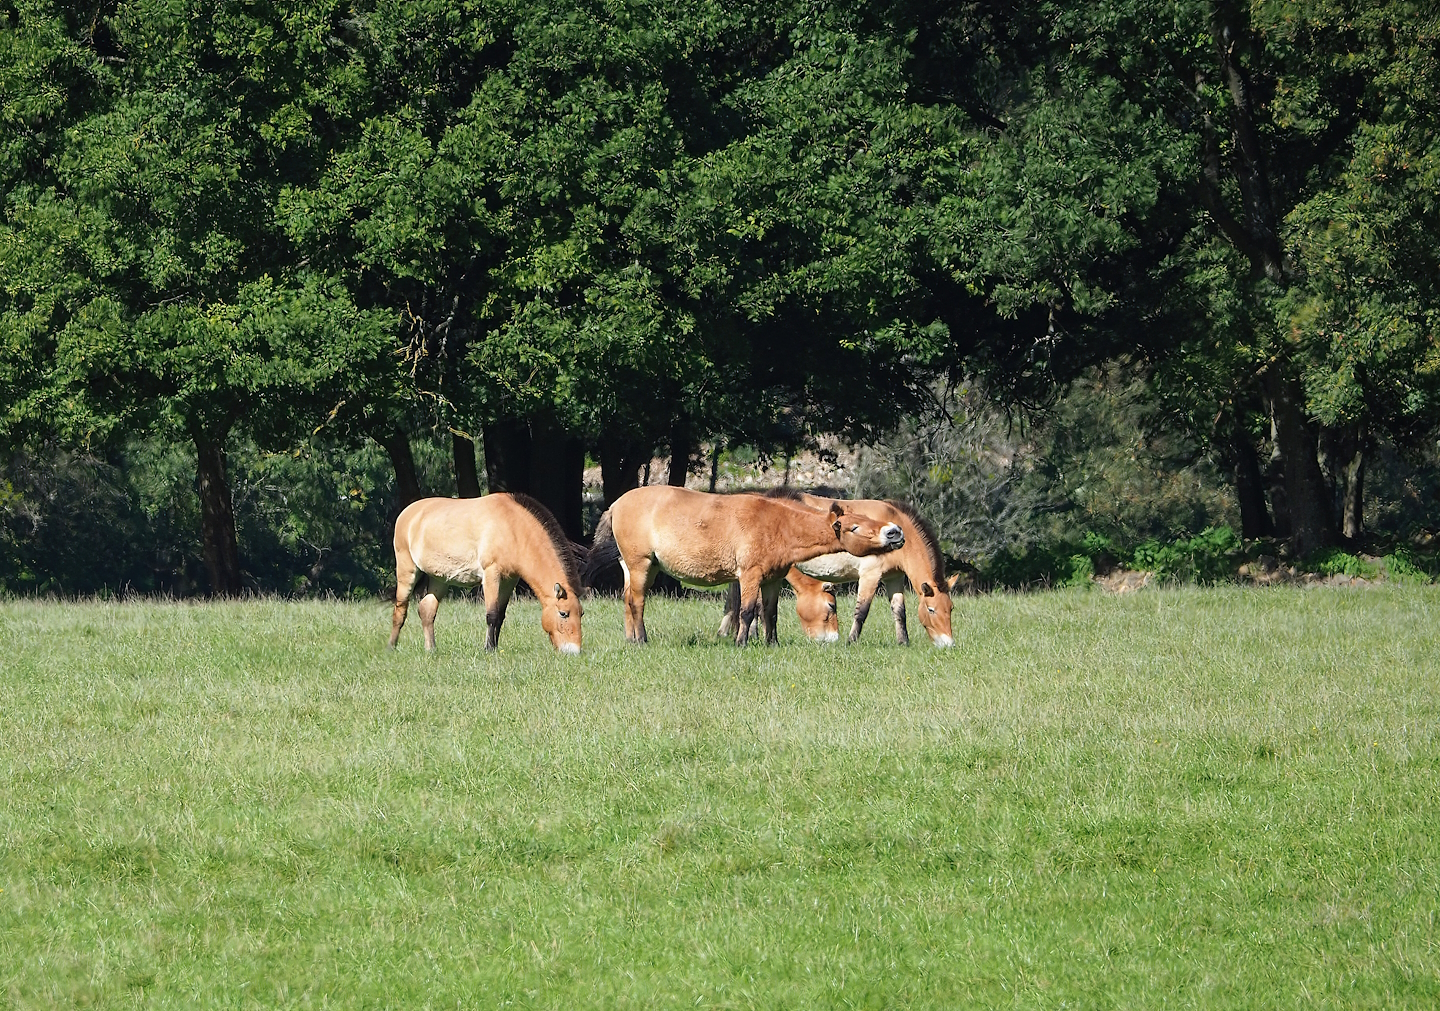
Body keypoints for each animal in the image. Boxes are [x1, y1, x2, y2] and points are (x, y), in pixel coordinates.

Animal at [389, 493, 583, 653]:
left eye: (581, 613)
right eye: (563, 613)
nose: (574, 651)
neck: (513, 527)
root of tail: (407, 513)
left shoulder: (509, 580)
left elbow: (501, 615)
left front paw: (495, 646)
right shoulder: (491, 575)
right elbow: (492, 614)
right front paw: (488, 649)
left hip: (439, 579)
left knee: (426, 610)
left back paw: (431, 649)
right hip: (407, 571)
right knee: (400, 609)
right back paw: (391, 647)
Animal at [585, 486, 904, 645]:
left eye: (868, 519)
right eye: (853, 527)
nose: (894, 532)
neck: (778, 523)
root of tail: (616, 504)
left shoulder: (772, 579)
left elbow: (771, 614)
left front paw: (771, 644)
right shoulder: (750, 575)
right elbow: (747, 612)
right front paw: (741, 642)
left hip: (638, 567)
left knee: (628, 600)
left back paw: (631, 639)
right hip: (641, 565)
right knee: (637, 602)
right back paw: (641, 639)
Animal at [719, 491, 955, 647]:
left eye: (951, 609)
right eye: (931, 610)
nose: (948, 643)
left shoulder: (893, 578)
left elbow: (899, 611)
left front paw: (903, 642)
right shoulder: (870, 574)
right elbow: (862, 611)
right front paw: (851, 641)